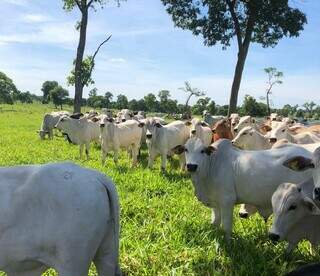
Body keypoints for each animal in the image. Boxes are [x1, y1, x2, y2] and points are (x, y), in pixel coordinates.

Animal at [172, 139, 312, 238]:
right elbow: (215, 222)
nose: (191, 166)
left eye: (202, 151)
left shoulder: (227, 201)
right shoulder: (215, 203)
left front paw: (227, 243)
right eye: (185, 149)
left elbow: (226, 226)